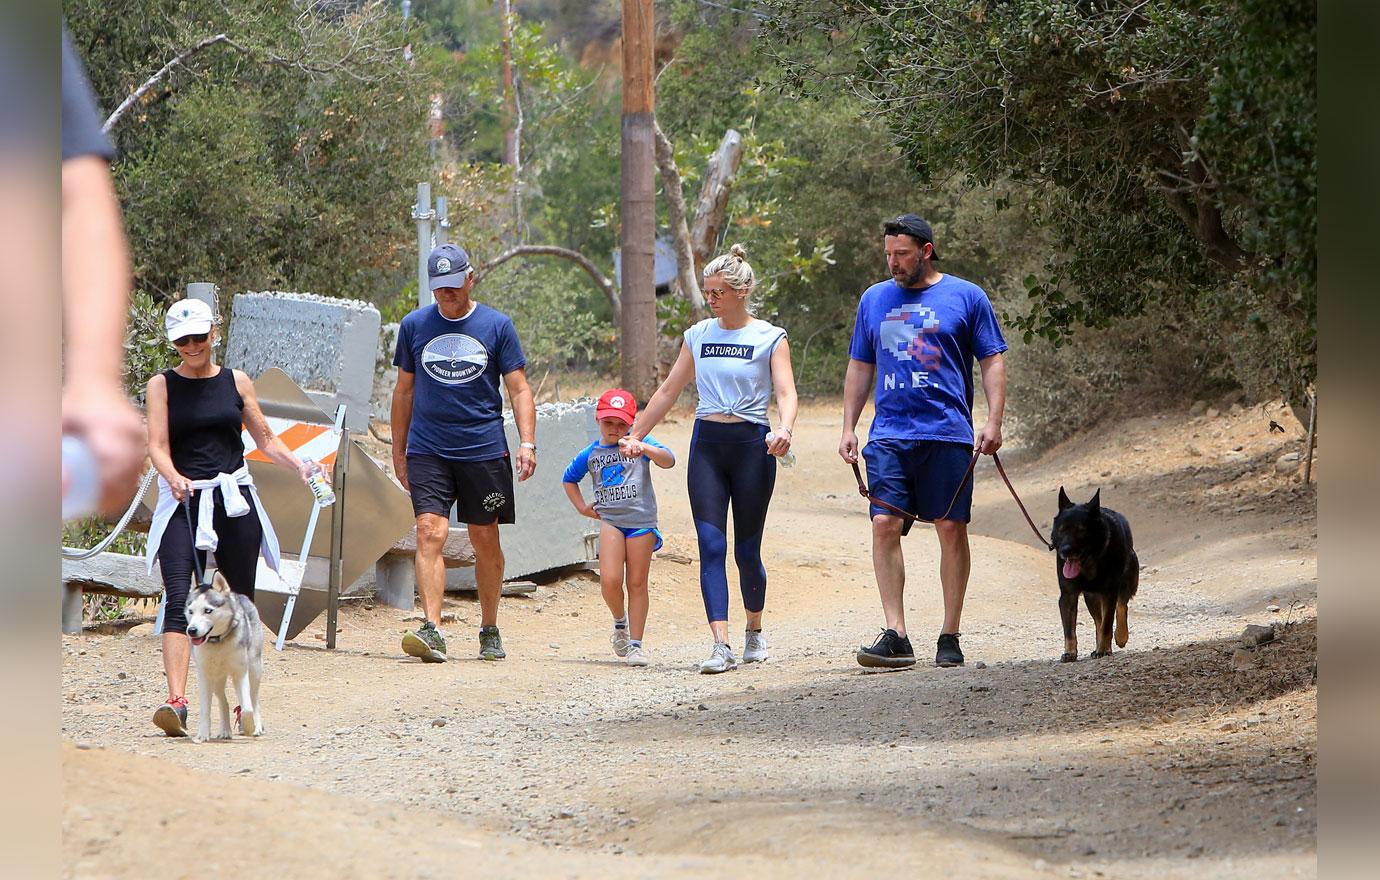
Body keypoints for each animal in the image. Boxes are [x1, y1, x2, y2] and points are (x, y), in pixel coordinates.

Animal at [183, 573, 266, 744]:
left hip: (254, 669)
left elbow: (247, 708)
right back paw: (225, 730)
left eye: (208, 610)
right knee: (223, 701)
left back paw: (257, 726)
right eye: (191, 611)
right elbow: (205, 708)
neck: (217, 642)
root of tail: (240, 596)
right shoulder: (204, 675)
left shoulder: (240, 673)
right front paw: (202, 735)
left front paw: (249, 727)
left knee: (254, 700)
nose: (191, 630)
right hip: (217, 678)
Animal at [1048, 491, 1137, 662]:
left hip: (1126, 583)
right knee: (1098, 621)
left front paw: (1103, 649)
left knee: (1121, 607)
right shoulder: (1068, 596)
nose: (1065, 551)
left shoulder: (1109, 593)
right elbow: (1069, 630)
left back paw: (1120, 637)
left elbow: (1107, 624)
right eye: (1062, 530)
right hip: (1091, 598)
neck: (1089, 563)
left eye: (1081, 530)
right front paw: (1070, 653)